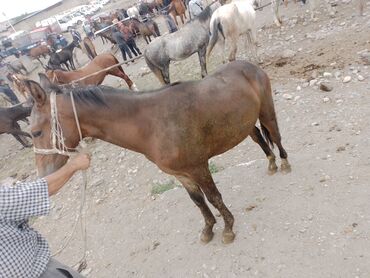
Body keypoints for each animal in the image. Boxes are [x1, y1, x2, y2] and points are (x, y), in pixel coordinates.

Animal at [24, 61, 290, 245]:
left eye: (36, 132)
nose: (43, 174)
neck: (151, 123)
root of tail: (247, 65)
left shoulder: (199, 167)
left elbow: (214, 197)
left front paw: (228, 229)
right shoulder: (181, 173)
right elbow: (198, 201)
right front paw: (208, 229)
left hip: (266, 111)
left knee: (276, 136)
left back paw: (284, 164)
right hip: (245, 124)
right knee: (259, 138)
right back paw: (271, 164)